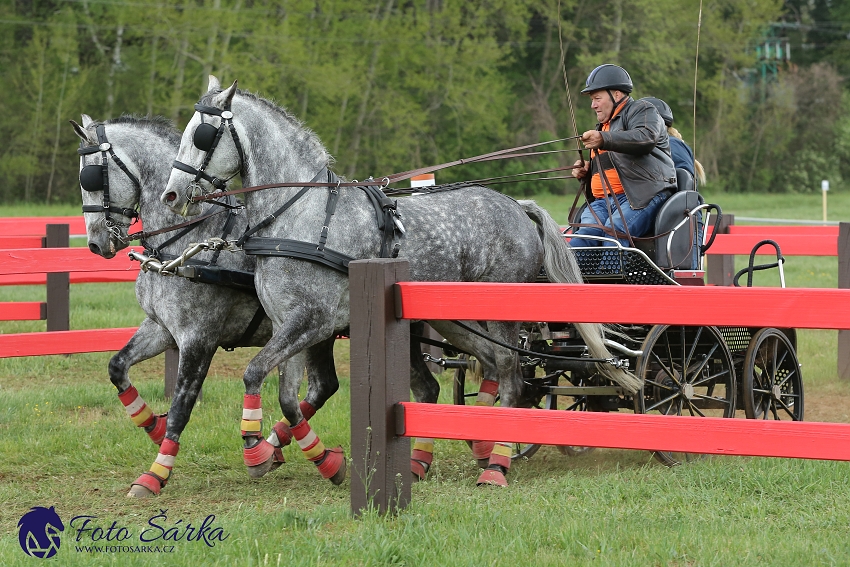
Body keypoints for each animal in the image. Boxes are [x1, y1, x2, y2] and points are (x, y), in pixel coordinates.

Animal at [70, 115, 342, 496]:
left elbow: (182, 405)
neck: (185, 243)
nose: (96, 243)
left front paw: (156, 473)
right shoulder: (162, 329)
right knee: (324, 386)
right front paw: (153, 426)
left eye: (91, 177)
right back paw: (278, 446)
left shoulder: (198, 339)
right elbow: (117, 367)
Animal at [157, 76, 636, 488]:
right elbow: (286, 394)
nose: (172, 196)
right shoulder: (287, 325)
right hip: (452, 321)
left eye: (202, 136)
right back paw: (474, 443)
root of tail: (518, 206)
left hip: (501, 314)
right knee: (489, 367)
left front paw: (256, 449)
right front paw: (318, 461)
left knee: (512, 375)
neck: (300, 215)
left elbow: (255, 371)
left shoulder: (312, 322)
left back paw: (496, 463)